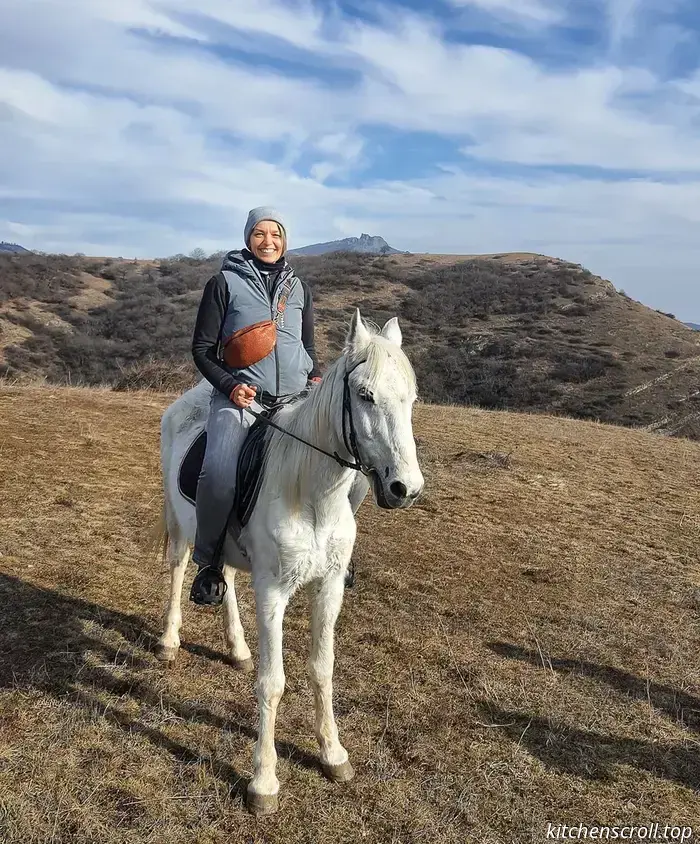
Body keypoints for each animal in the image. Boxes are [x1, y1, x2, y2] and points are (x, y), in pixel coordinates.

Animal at [154, 308, 424, 812]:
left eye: (411, 399)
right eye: (364, 395)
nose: (406, 489)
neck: (311, 493)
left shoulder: (329, 587)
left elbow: (322, 667)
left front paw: (333, 753)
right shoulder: (273, 593)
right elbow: (272, 682)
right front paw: (263, 780)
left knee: (224, 576)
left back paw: (238, 647)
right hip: (180, 527)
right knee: (180, 568)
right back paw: (168, 640)